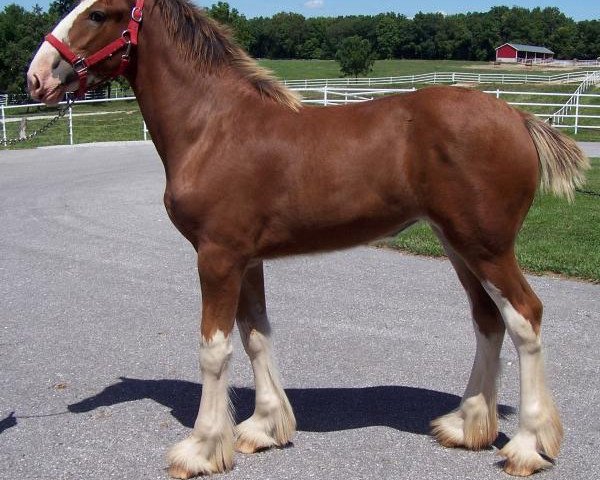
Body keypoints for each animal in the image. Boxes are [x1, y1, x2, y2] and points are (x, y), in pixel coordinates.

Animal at [25, 0, 588, 476]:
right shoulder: (246, 259)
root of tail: (518, 116)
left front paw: (202, 448)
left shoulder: (217, 256)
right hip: (457, 245)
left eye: (97, 13)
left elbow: (214, 349)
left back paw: (526, 446)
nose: (37, 77)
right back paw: (466, 425)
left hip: (487, 247)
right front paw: (262, 428)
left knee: (525, 318)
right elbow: (255, 335)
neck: (213, 127)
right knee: (487, 320)